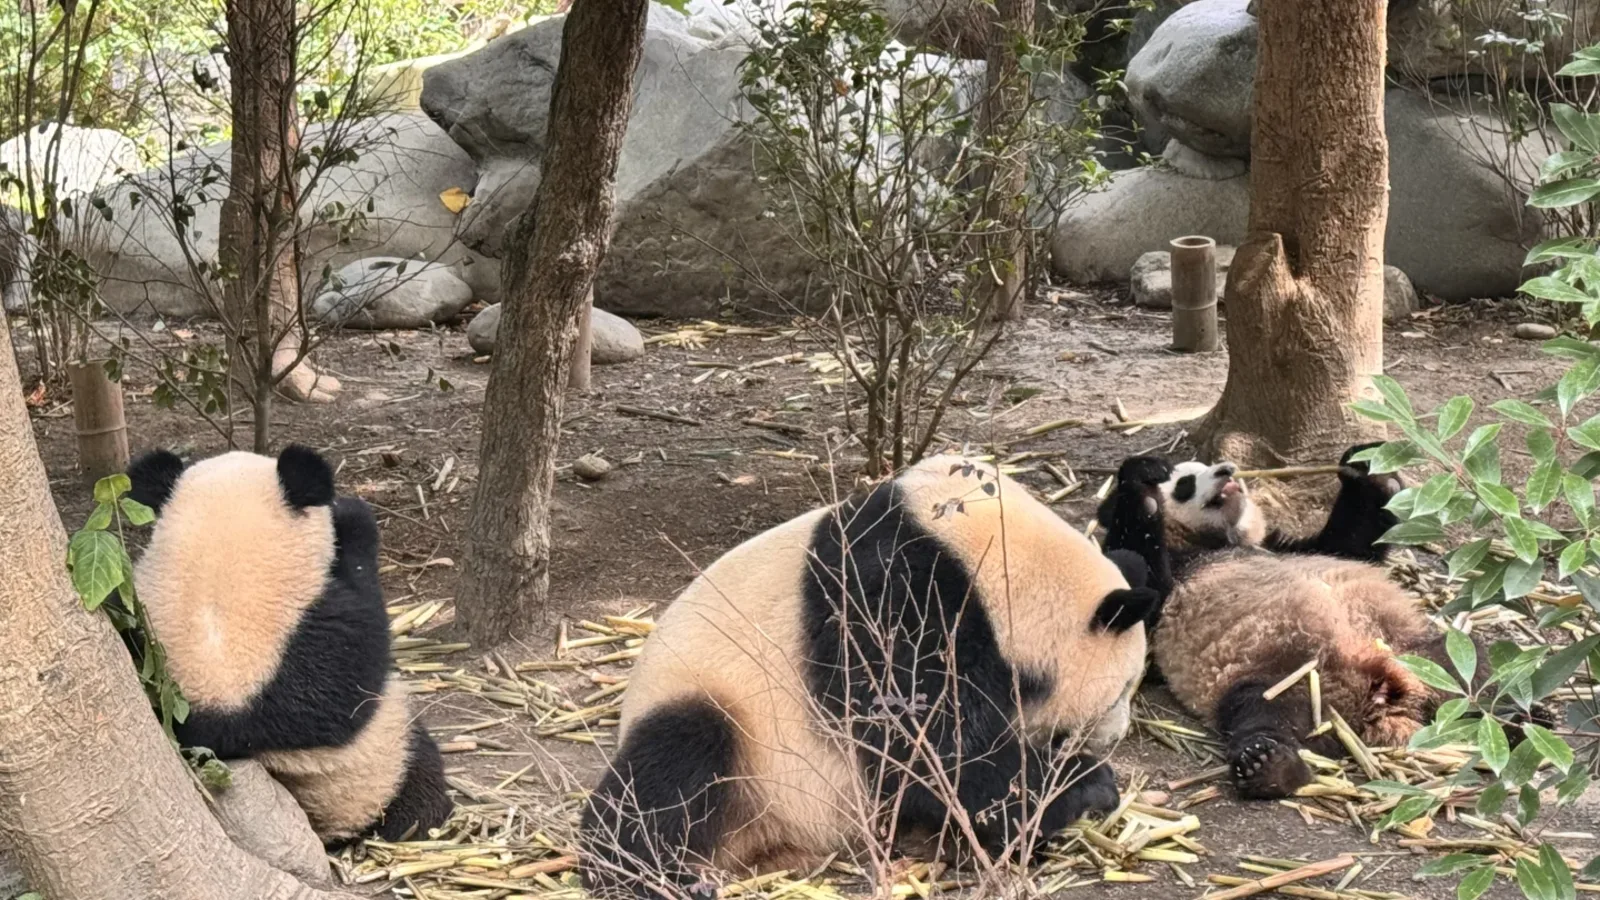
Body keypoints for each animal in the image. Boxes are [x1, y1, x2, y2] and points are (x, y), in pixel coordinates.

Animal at [581, 455, 1159, 898]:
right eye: (1121, 691)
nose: (1114, 739)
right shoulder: (899, 600)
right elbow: (921, 742)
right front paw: (1087, 786)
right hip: (723, 713)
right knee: (675, 762)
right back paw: (644, 873)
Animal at [1096, 444, 1482, 799]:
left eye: (1209, 466)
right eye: (1185, 483)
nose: (1226, 470)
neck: (1216, 542)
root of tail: (1375, 698)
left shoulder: (1284, 546)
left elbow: (1350, 544)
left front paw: (1364, 466)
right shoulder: (1170, 581)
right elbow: (1138, 589)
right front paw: (1143, 481)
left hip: (1418, 651)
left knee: (1475, 664)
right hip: (1286, 679)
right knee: (1263, 713)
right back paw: (1269, 765)